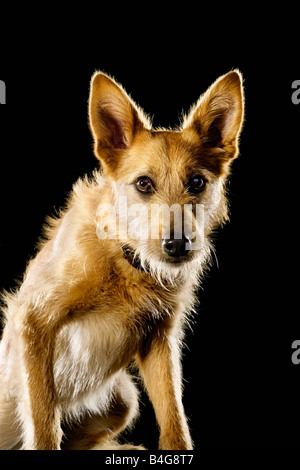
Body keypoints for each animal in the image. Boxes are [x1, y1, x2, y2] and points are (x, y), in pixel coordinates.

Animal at [0, 69, 244, 448]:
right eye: (143, 184)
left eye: (197, 182)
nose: (178, 245)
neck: (126, 261)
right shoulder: (33, 319)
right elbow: (43, 422)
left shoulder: (160, 340)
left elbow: (174, 421)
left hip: (124, 399)